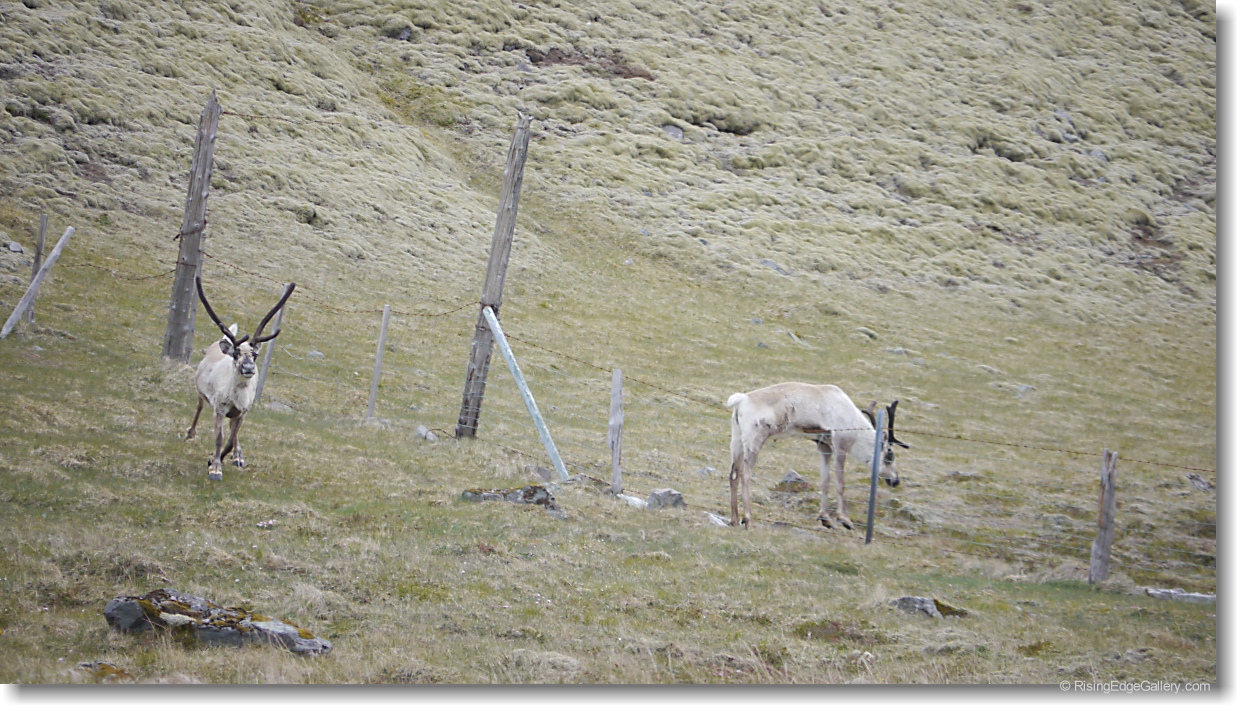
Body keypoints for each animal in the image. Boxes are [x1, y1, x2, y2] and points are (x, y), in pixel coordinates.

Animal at [185, 276, 295, 481]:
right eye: (236, 354)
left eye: (255, 355)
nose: (249, 368)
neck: (235, 397)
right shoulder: (219, 408)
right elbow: (219, 438)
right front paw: (215, 468)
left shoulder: (243, 411)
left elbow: (230, 440)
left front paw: (216, 460)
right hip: (201, 391)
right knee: (199, 407)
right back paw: (190, 434)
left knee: (233, 432)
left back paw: (238, 456)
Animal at [725, 382, 908, 530]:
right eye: (890, 455)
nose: (896, 481)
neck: (853, 422)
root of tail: (741, 400)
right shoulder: (840, 447)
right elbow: (840, 483)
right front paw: (844, 520)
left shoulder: (824, 447)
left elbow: (825, 481)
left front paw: (825, 518)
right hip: (754, 441)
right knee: (745, 475)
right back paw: (748, 520)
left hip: (737, 441)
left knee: (733, 474)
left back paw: (734, 520)